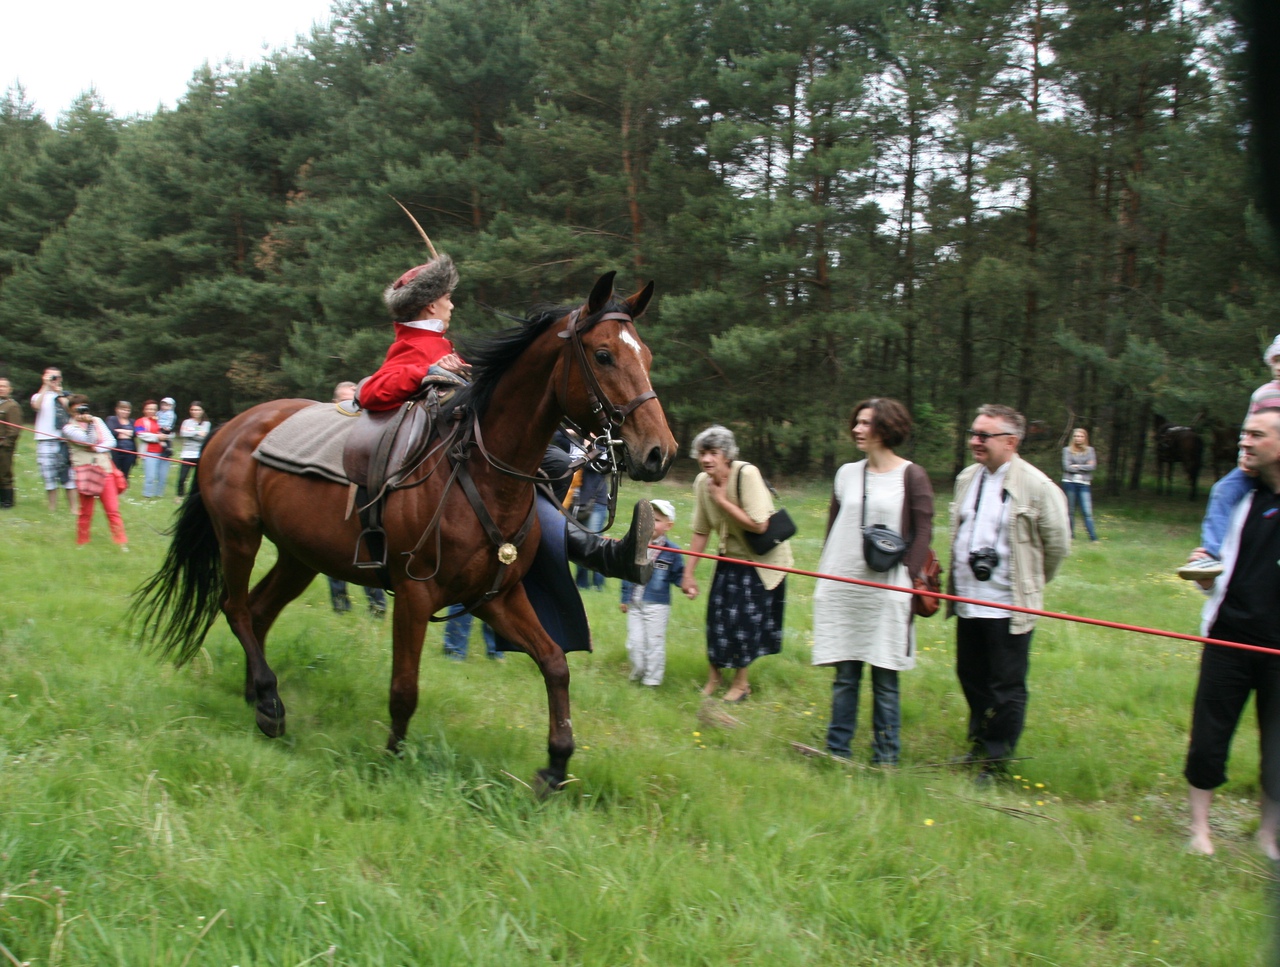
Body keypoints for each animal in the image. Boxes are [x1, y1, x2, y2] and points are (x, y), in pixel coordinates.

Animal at [129, 274, 680, 794]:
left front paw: (556, 764)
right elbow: (404, 688)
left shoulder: (495, 596)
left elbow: (554, 663)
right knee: (237, 607)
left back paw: (260, 695)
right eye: (604, 355)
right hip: (239, 537)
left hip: (299, 557)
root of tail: (230, 428)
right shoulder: (415, 595)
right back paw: (268, 702)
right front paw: (391, 759)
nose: (660, 452)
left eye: (647, 355)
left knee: (260, 611)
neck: (480, 473)